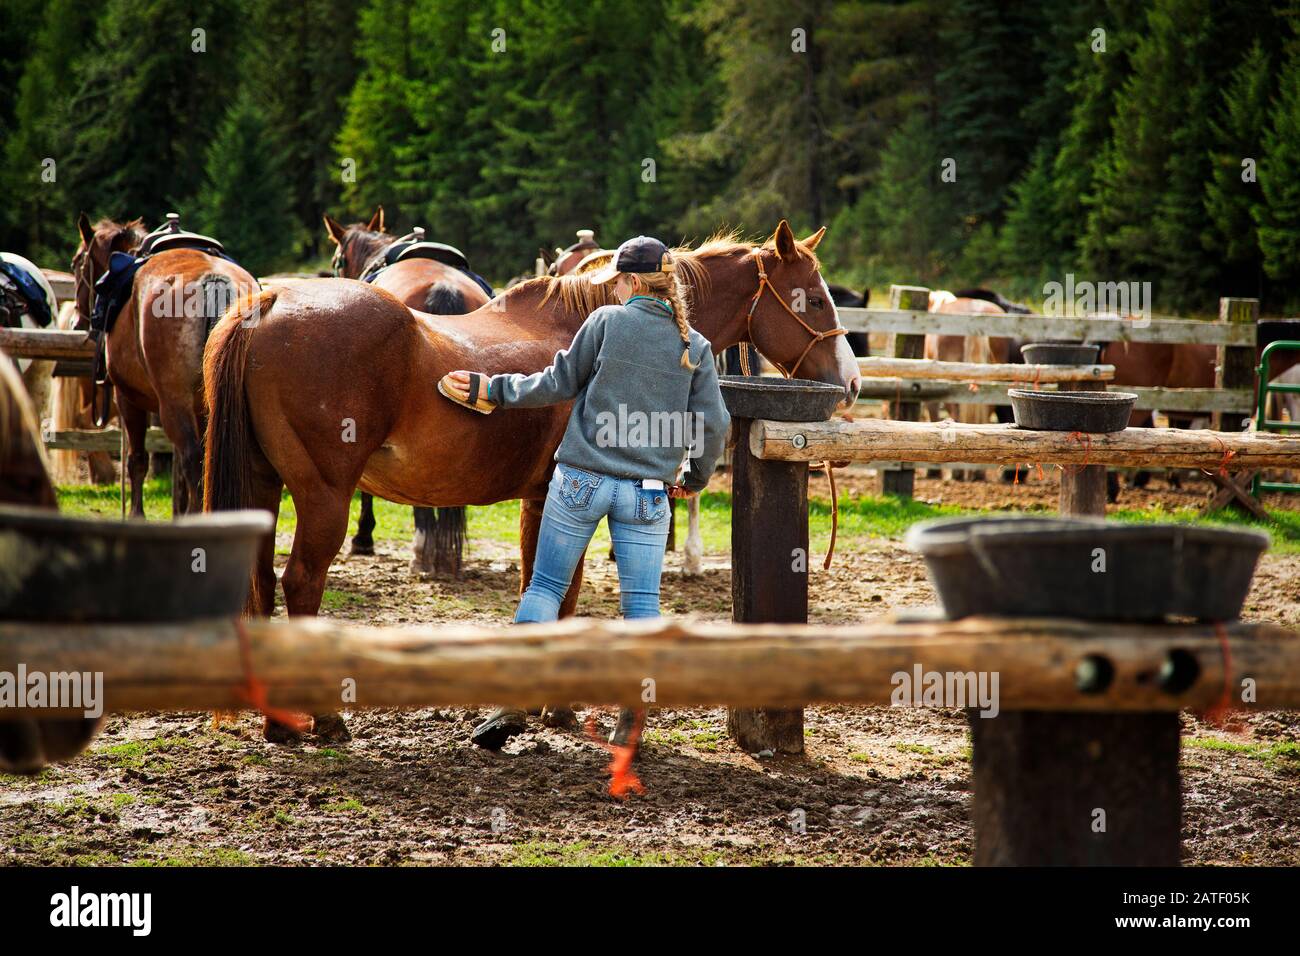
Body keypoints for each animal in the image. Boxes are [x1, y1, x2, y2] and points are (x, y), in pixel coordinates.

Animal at [72, 214, 260, 516]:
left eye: (77, 263)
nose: (78, 322)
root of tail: (215, 281)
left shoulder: (127, 399)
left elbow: (137, 461)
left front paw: (136, 515)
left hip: (172, 403)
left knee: (191, 459)